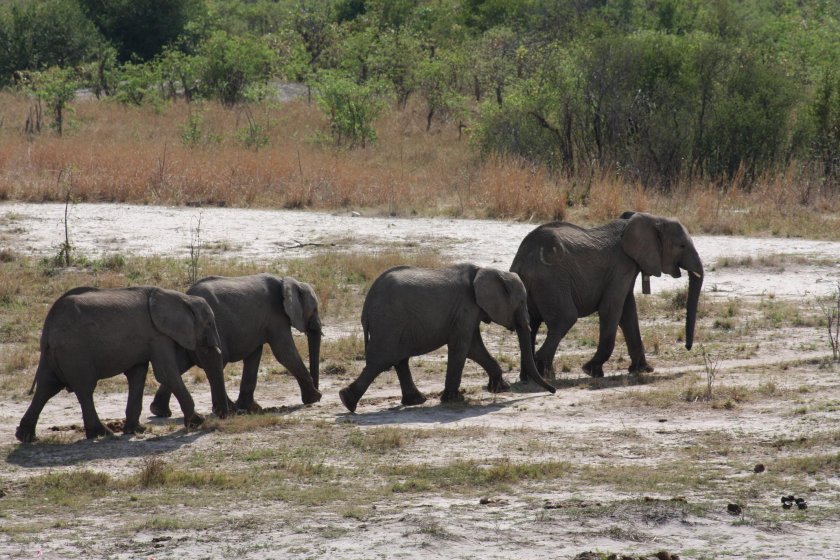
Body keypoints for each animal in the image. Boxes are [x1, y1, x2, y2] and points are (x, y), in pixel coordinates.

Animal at [17, 286, 226, 444]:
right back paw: (102, 433)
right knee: (84, 389)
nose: (221, 416)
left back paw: (26, 437)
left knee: (46, 387)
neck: (181, 298)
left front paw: (136, 430)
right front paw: (198, 422)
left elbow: (138, 376)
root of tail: (48, 327)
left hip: (54, 354)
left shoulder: (148, 338)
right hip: (74, 352)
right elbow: (166, 374)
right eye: (209, 323)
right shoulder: (157, 335)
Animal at [149, 274, 324, 418]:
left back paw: (159, 411)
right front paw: (315, 398)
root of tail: (187, 293)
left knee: (181, 364)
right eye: (315, 309)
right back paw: (230, 410)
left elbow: (254, 356)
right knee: (216, 364)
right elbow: (284, 352)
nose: (318, 390)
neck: (286, 281)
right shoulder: (276, 317)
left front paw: (252, 408)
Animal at [334, 262, 556, 412]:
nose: (553, 391)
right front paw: (453, 399)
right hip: (388, 322)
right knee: (381, 361)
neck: (485, 270)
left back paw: (414, 401)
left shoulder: (470, 311)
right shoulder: (466, 308)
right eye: (522, 302)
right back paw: (347, 401)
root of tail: (366, 307)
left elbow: (474, 348)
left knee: (398, 360)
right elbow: (462, 347)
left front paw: (500, 389)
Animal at [512, 211, 704, 380]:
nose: (688, 347)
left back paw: (530, 377)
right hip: (551, 281)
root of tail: (522, 261)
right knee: (565, 318)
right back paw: (546, 374)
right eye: (682, 246)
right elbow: (612, 309)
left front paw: (643, 370)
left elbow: (628, 312)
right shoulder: (621, 266)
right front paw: (591, 371)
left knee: (531, 324)